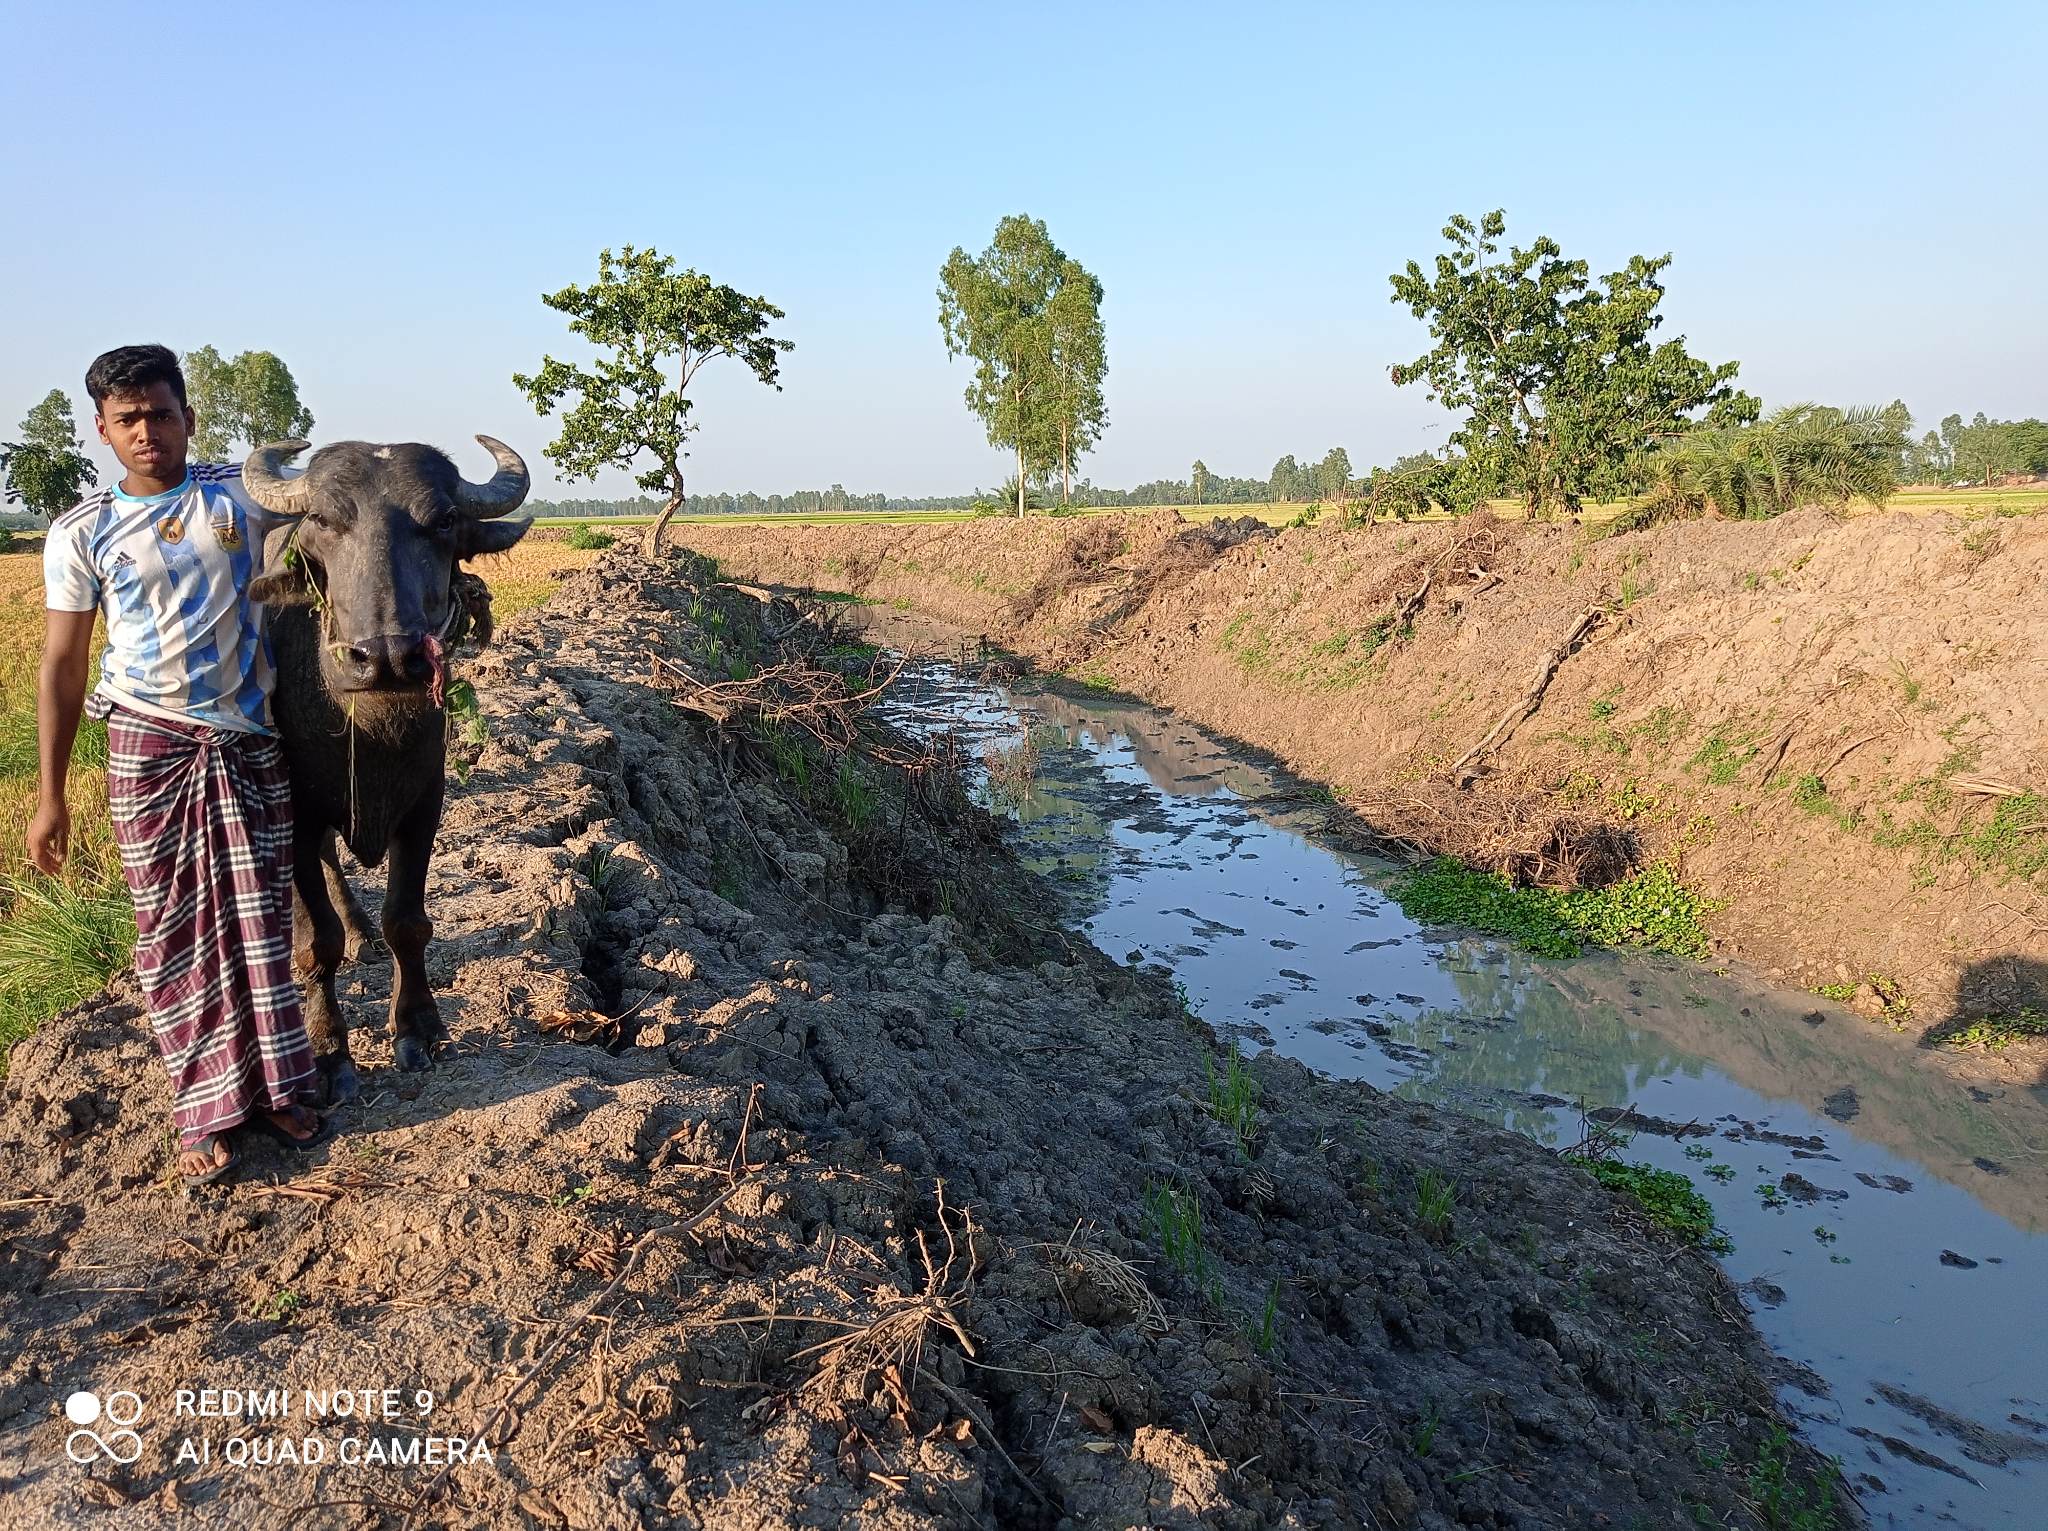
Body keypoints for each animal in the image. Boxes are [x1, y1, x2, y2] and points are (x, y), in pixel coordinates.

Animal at [242, 435, 532, 1097]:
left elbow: (407, 920)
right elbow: (316, 942)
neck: (371, 729)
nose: (387, 657)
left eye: (444, 521)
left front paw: (418, 1027)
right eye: (323, 520)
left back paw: (364, 935)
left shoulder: (424, 805)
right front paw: (328, 1050)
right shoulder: (294, 811)